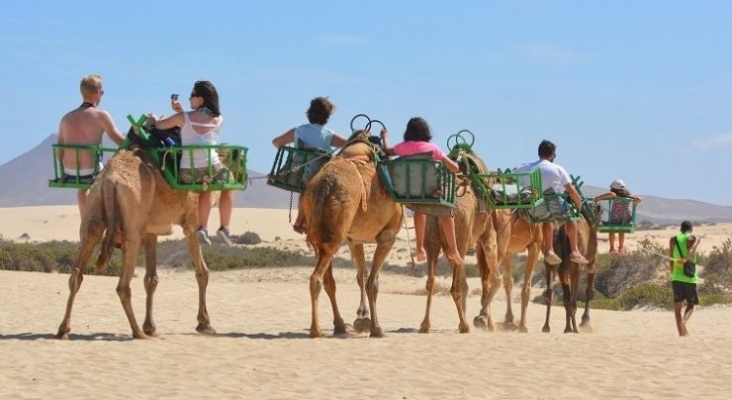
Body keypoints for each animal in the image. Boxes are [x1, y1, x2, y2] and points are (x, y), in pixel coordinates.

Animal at [55, 145, 214, 340]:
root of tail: (110, 180)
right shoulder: (190, 220)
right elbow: (202, 273)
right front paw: (205, 324)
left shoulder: (151, 230)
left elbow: (151, 279)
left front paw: (151, 327)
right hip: (133, 225)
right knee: (123, 285)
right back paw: (137, 332)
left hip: (94, 209)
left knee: (77, 273)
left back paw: (63, 330)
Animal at [300, 131, 404, 338]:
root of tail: (325, 185)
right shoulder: (388, 236)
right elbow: (372, 282)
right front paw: (375, 328)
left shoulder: (354, 239)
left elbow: (361, 276)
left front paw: (362, 319)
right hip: (336, 232)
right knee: (316, 278)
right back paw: (316, 330)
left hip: (322, 235)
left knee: (328, 280)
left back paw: (339, 325)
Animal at [544, 203, 600, 334]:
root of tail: (562, 228)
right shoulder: (592, 261)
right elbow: (589, 291)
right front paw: (585, 322)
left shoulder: (563, 269)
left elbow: (566, 297)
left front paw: (568, 327)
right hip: (575, 265)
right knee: (572, 300)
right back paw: (574, 329)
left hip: (555, 262)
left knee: (553, 294)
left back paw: (548, 327)